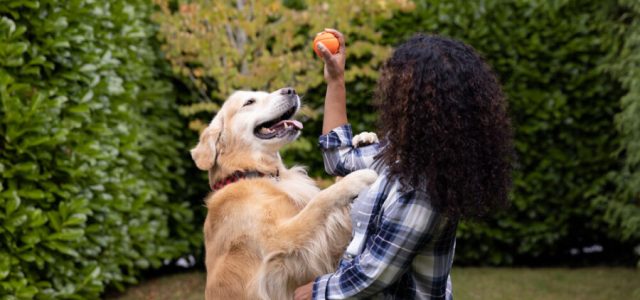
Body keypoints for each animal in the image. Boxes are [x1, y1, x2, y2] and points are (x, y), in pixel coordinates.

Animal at [190, 87, 380, 300]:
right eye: (249, 102)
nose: (290, 90)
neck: (253, 172)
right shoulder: (280, 240)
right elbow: (319, 200)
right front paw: (358, 178)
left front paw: (363, 138)